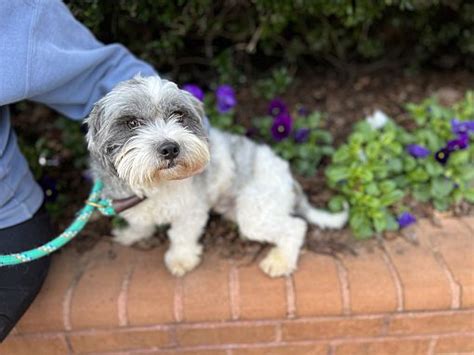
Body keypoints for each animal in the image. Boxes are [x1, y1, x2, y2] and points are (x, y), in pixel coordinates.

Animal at [86, 76, 348, 280]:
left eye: (178, 115)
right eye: (131, 122)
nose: (170, 148)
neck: (157, 184)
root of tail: (287, 174)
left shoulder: (191, 210)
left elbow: (181, 236)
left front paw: (181, 259)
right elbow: (140, 223)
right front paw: (132, 234)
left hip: (255, 213)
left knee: (296, 227)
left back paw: (280, 260)